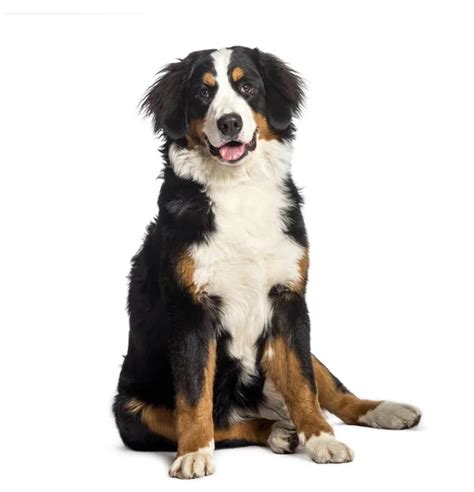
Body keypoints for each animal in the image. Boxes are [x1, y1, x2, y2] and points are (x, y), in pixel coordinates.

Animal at [112, 45, 422, 476]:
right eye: (203, 93)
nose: (230, 122)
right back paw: (276, 431)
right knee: (224, 423)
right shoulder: (190, 310)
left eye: (247, 87)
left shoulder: (288, 301)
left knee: (331, 390)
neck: (239, 189)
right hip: (132, 412)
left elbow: (306, 385)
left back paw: (384, 410)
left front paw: (322, 439)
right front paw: (193, 453)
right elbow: (193, 397)